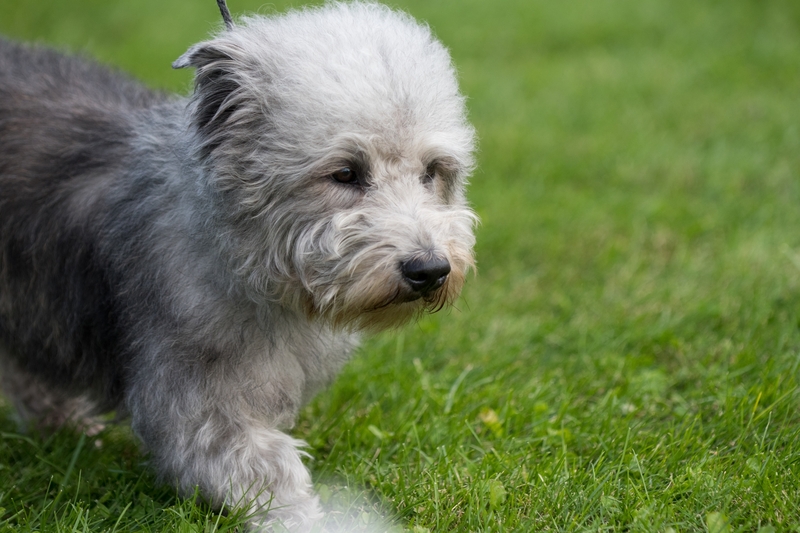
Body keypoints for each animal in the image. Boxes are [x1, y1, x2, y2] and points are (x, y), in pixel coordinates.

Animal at [0, 0, 476, 528]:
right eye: (345, 173)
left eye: (432, 171)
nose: (429, 270)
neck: (241, 260)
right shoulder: (197, 406)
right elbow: (265, 465)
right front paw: (307, 520)